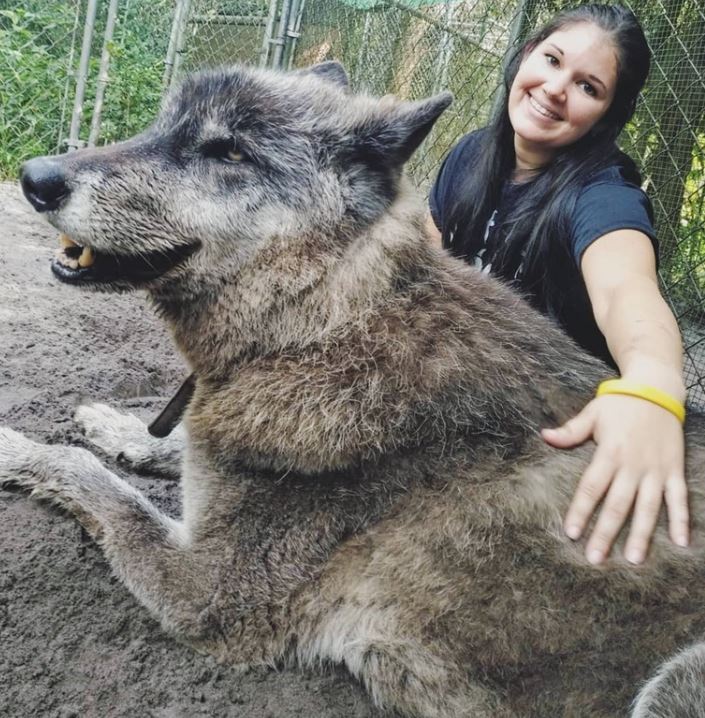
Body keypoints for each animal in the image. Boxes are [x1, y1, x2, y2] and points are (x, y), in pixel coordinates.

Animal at [4, 63, 704, 718]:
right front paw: (115, 426)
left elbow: (93, 479)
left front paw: (18, 447)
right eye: (159, 125)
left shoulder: (204, 591)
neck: (321, 324)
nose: (35, 176)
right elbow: (164, 446)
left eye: (227, 152)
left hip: (670, 683)